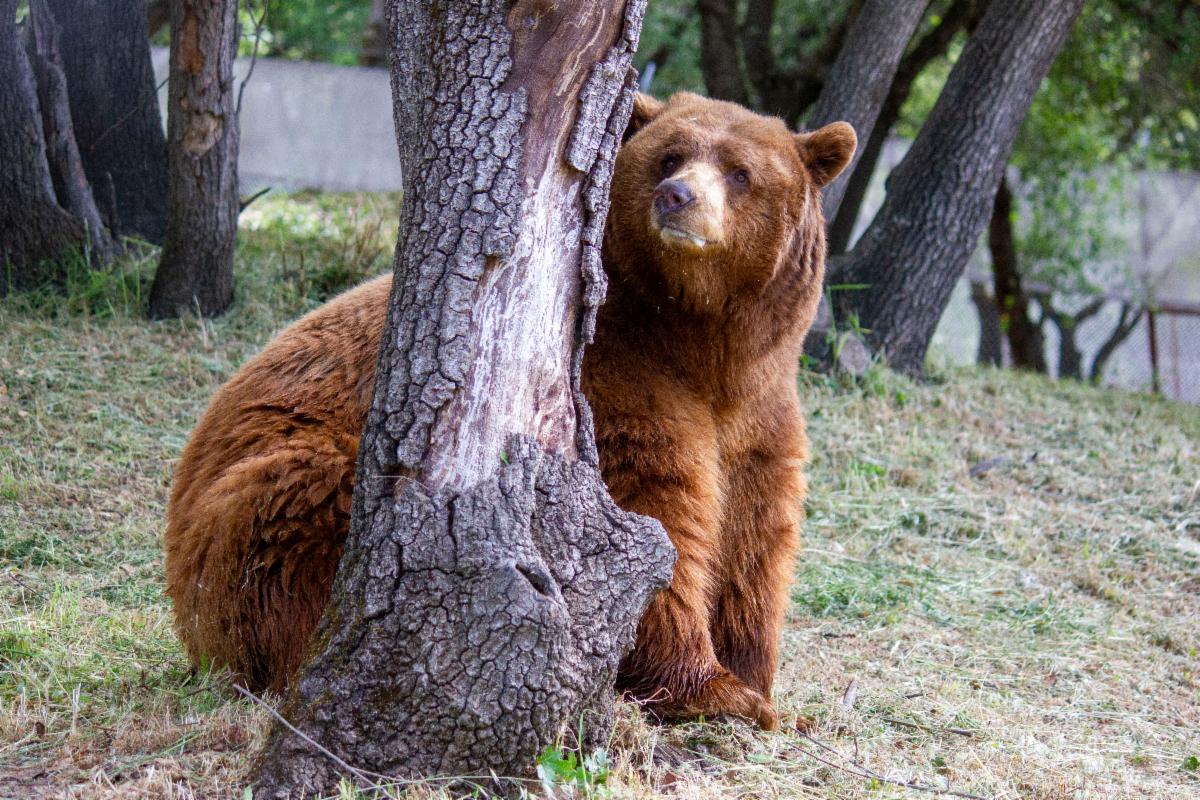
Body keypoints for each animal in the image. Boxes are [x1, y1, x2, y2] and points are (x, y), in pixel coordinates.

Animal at [163, 91, 855, 731]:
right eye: (670, 155)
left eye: (740, 172)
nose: (677, 196)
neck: (702, 343)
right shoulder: (612, 384)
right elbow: (660, 517)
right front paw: (713, 690)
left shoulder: (760, 414)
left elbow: (753, 540)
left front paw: (757, 681)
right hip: (275, 500)